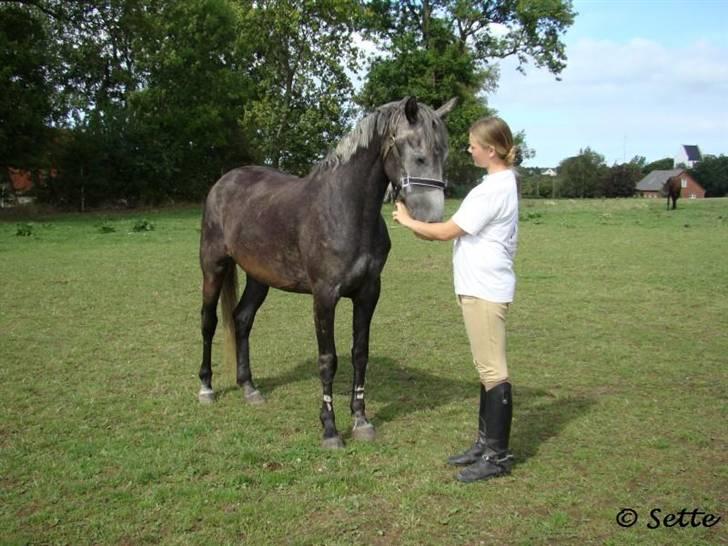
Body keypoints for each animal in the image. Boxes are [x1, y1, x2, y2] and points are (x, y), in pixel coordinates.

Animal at [198, 96, 456, 446]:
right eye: (418, 155)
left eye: (443, 154)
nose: (432, 219)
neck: (345, 211)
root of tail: (223, 183)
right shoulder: (324, 296)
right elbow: (328, 359)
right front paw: (330, 430)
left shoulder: (368, 293)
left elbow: (360, 353)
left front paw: (361, 421)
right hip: (213, 267)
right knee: (208, 322)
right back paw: (206, 388)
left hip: (259, 277)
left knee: (242, 319)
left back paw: (249, 388)